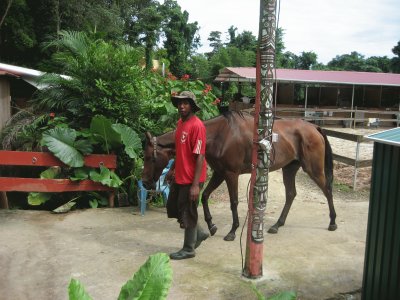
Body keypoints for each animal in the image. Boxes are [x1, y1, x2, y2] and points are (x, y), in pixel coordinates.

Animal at [142, 110, 336, 241]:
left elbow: (233, 202)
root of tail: (314, 127)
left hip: (313, 169)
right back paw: (277, 225)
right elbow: (205, 196)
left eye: (149, 157)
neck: (219, 135)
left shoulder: (231, 174)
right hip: (289, 169)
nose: (145, 183)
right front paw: (211, 225)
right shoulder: (220, 173)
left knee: (327, 190)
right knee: (290, 194)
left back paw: (332, 222)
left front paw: (232, 231)